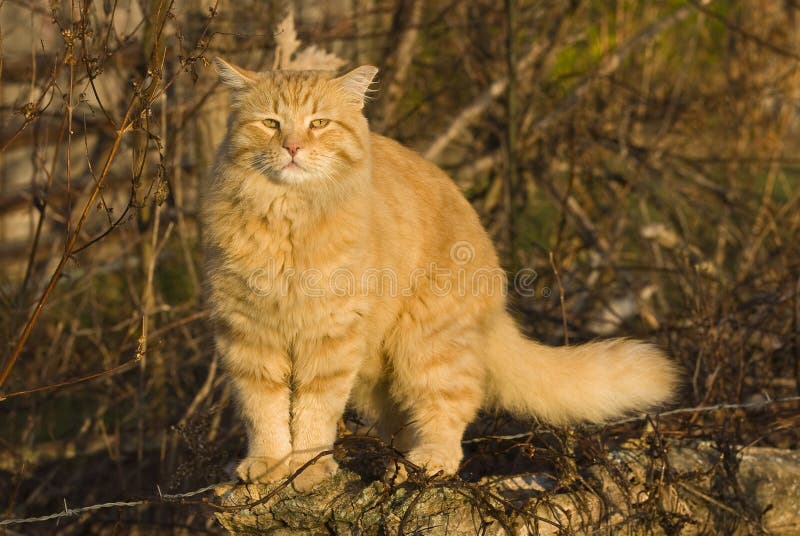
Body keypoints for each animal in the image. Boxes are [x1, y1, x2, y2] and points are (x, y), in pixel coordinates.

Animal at [203, 58, 680, 490]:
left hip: (429, 345)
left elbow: (313, 414)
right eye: (270, 123)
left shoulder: (330, 338)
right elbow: (264, 411)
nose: (292, 148)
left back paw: (426, 463)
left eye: (319, 123)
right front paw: (268, 465)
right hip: (384, 372)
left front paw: (307, 470)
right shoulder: (247, 334)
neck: (289, 221)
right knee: (406, 420)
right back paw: (396, 463)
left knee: (451, 410)